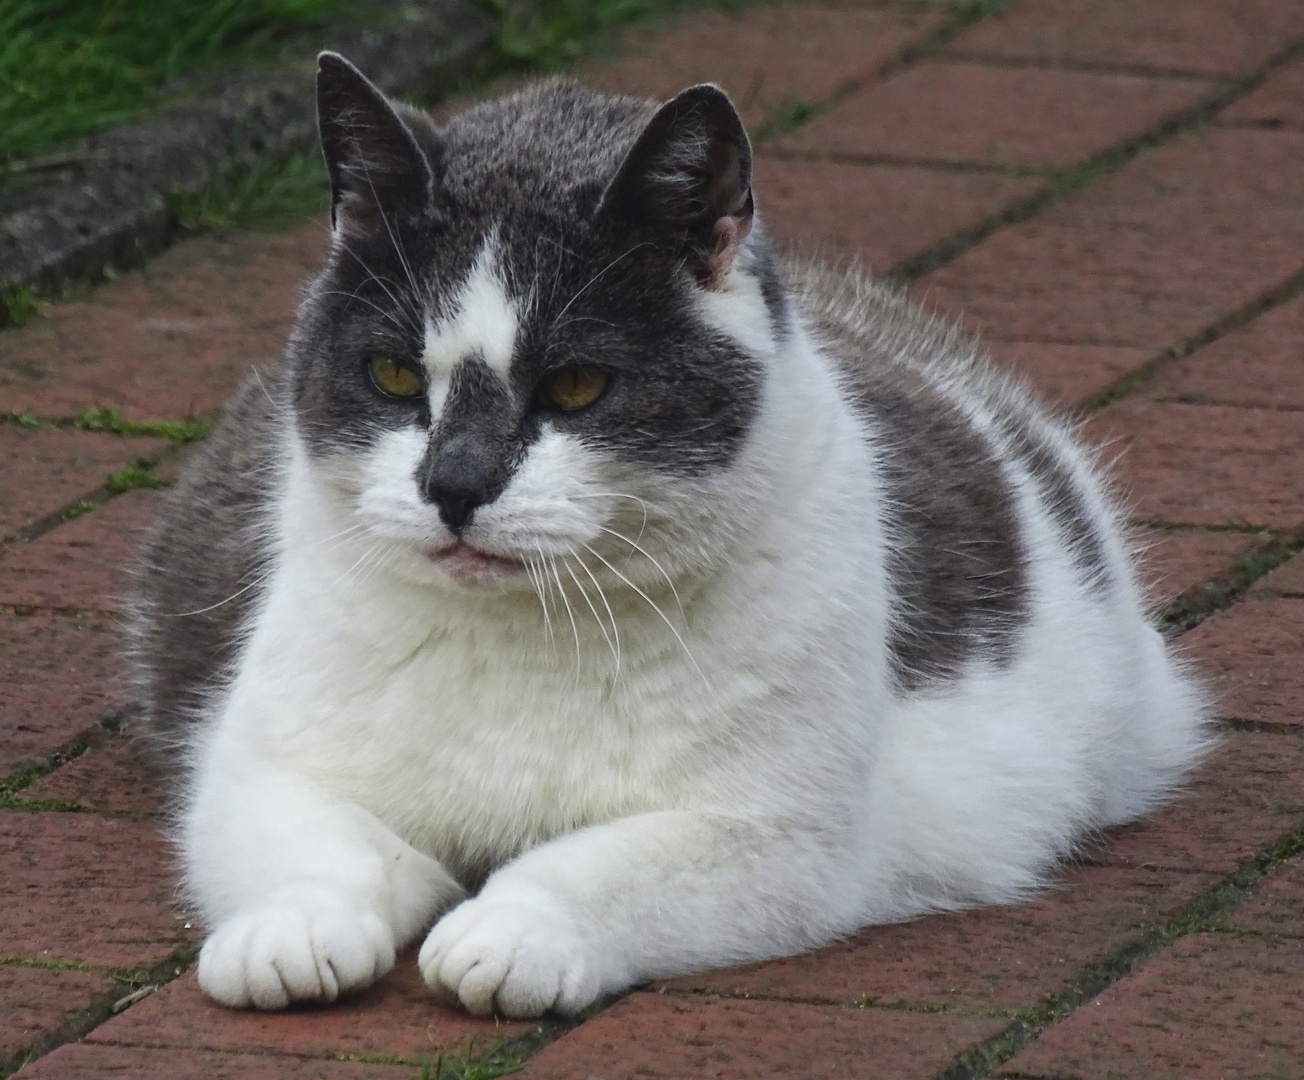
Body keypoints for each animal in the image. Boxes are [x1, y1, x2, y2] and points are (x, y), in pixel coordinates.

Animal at [127, 52, 1204, 1022]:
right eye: (392, 375)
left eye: (575, 386)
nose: (453, 486)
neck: (522, 638)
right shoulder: (259, 763)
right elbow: (325, 848)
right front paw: (292, 931)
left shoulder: (778, 836)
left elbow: (594, 864)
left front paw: (512, 932)